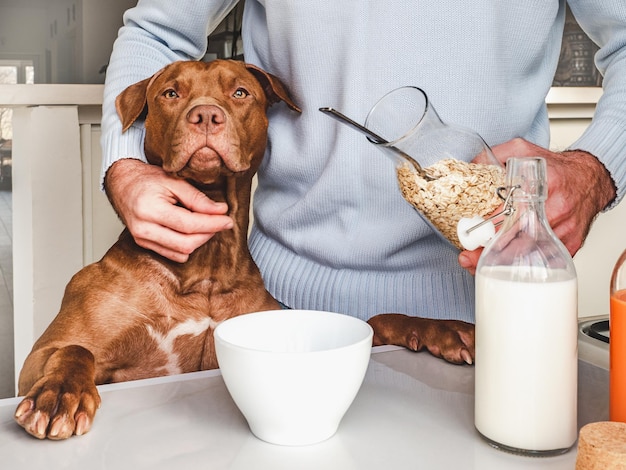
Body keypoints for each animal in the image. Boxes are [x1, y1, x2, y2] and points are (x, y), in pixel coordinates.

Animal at [12, 58, 472, 440]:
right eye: (170, 93)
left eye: (239, 93)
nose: (205, 115)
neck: (206, 268)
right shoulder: (41, 356)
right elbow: (72, 348)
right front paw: (59, 394)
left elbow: (377, 319)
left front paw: (442, 329)